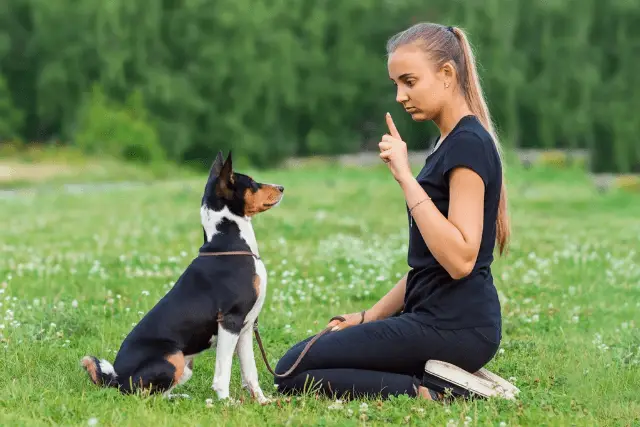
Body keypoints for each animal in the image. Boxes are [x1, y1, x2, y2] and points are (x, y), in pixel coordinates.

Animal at [79, 150, 282, 404]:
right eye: (252, 182)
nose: (282, 187)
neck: (230, 243)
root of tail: (116, 380)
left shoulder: (245, 327)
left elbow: (251, 372)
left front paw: (262, 402)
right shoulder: (230, 321)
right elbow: (223, 372)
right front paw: (227, 403)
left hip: (185, 365)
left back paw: (180, 397)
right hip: (172, 356)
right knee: (142, 395)